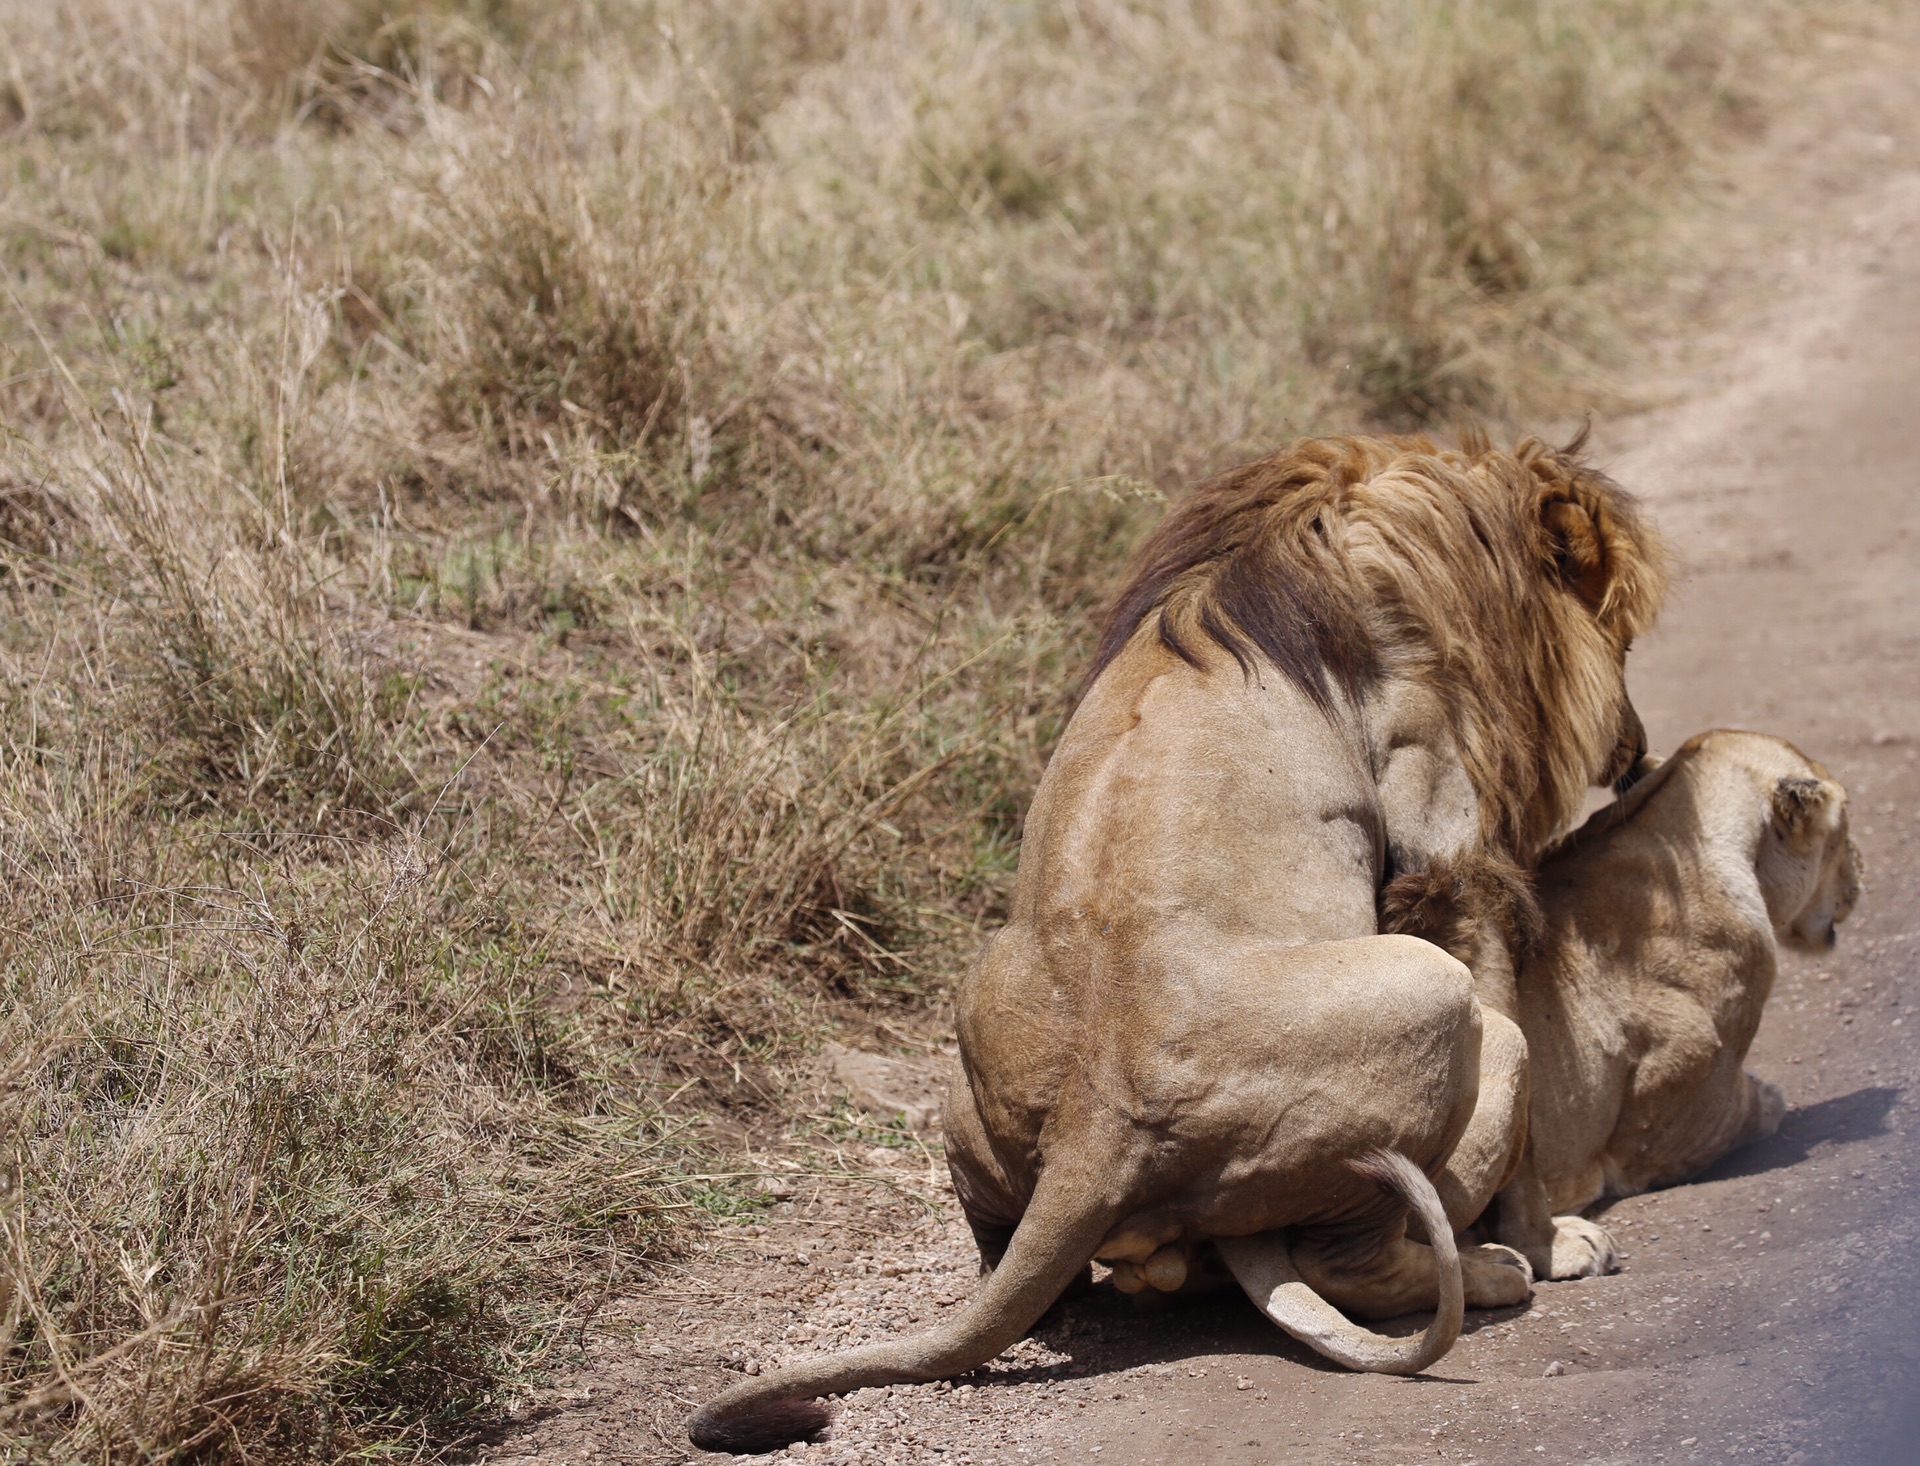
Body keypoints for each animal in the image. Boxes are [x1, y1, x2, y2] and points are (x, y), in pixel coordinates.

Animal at [691, 429, 1666, 1450]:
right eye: (1624, 641)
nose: (1638, 750)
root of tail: (1095, 1132)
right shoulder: (1447, 842)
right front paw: (1553, 1242)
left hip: (973, 1050)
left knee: (1024, 1269)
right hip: (1432, 998)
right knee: (1356, 1255)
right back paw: (1486, 1274)